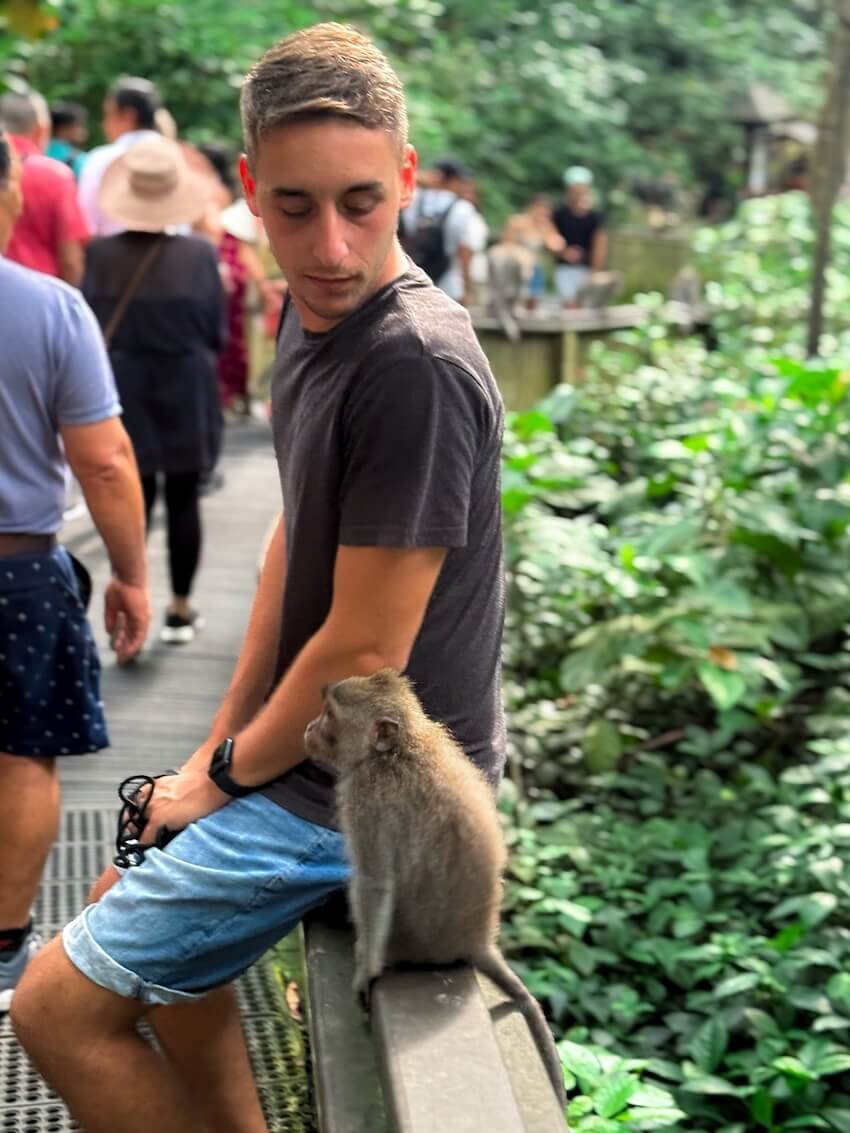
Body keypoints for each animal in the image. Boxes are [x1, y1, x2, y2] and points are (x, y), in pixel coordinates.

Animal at [304, 669, 567, 1111]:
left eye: (329, 715)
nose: (308, 726)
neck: (393, 752)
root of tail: (478, 941)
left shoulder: (364, 799)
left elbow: (376, 881)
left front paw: (365, 971)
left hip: (410, 944)